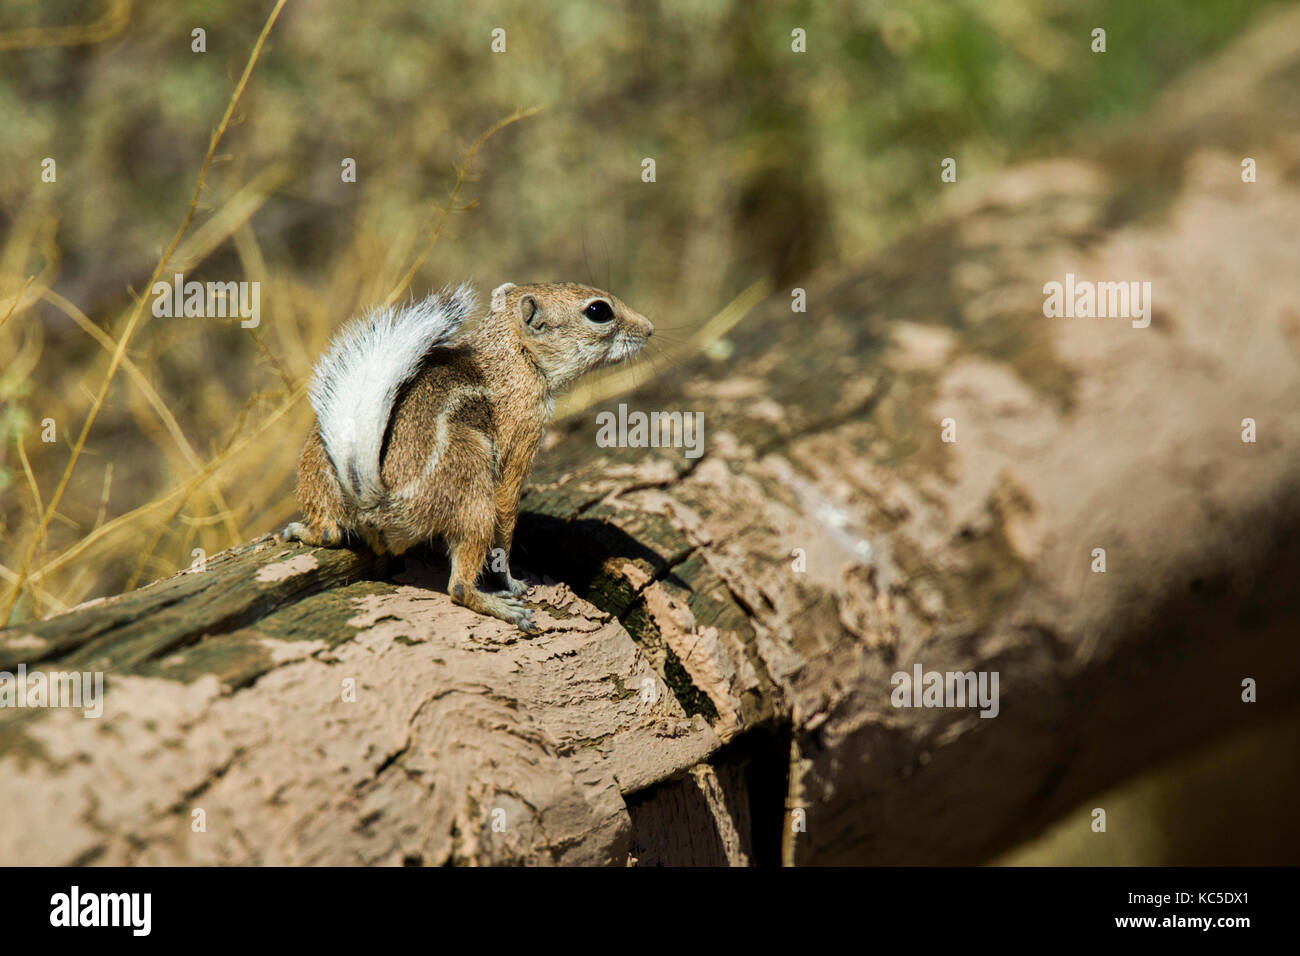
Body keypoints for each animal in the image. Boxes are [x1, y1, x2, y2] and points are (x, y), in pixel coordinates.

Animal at [280, 280, 655, 632]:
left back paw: (300, 531)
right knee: (458, 586)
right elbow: (507, 515)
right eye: (598, 311)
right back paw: (501, 606)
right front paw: (512, 581)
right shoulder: (522, 435)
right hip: (474, 492)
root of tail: (381, 503)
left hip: (316, 459)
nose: (650, 328)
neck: (512, 353)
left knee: (330, 534)